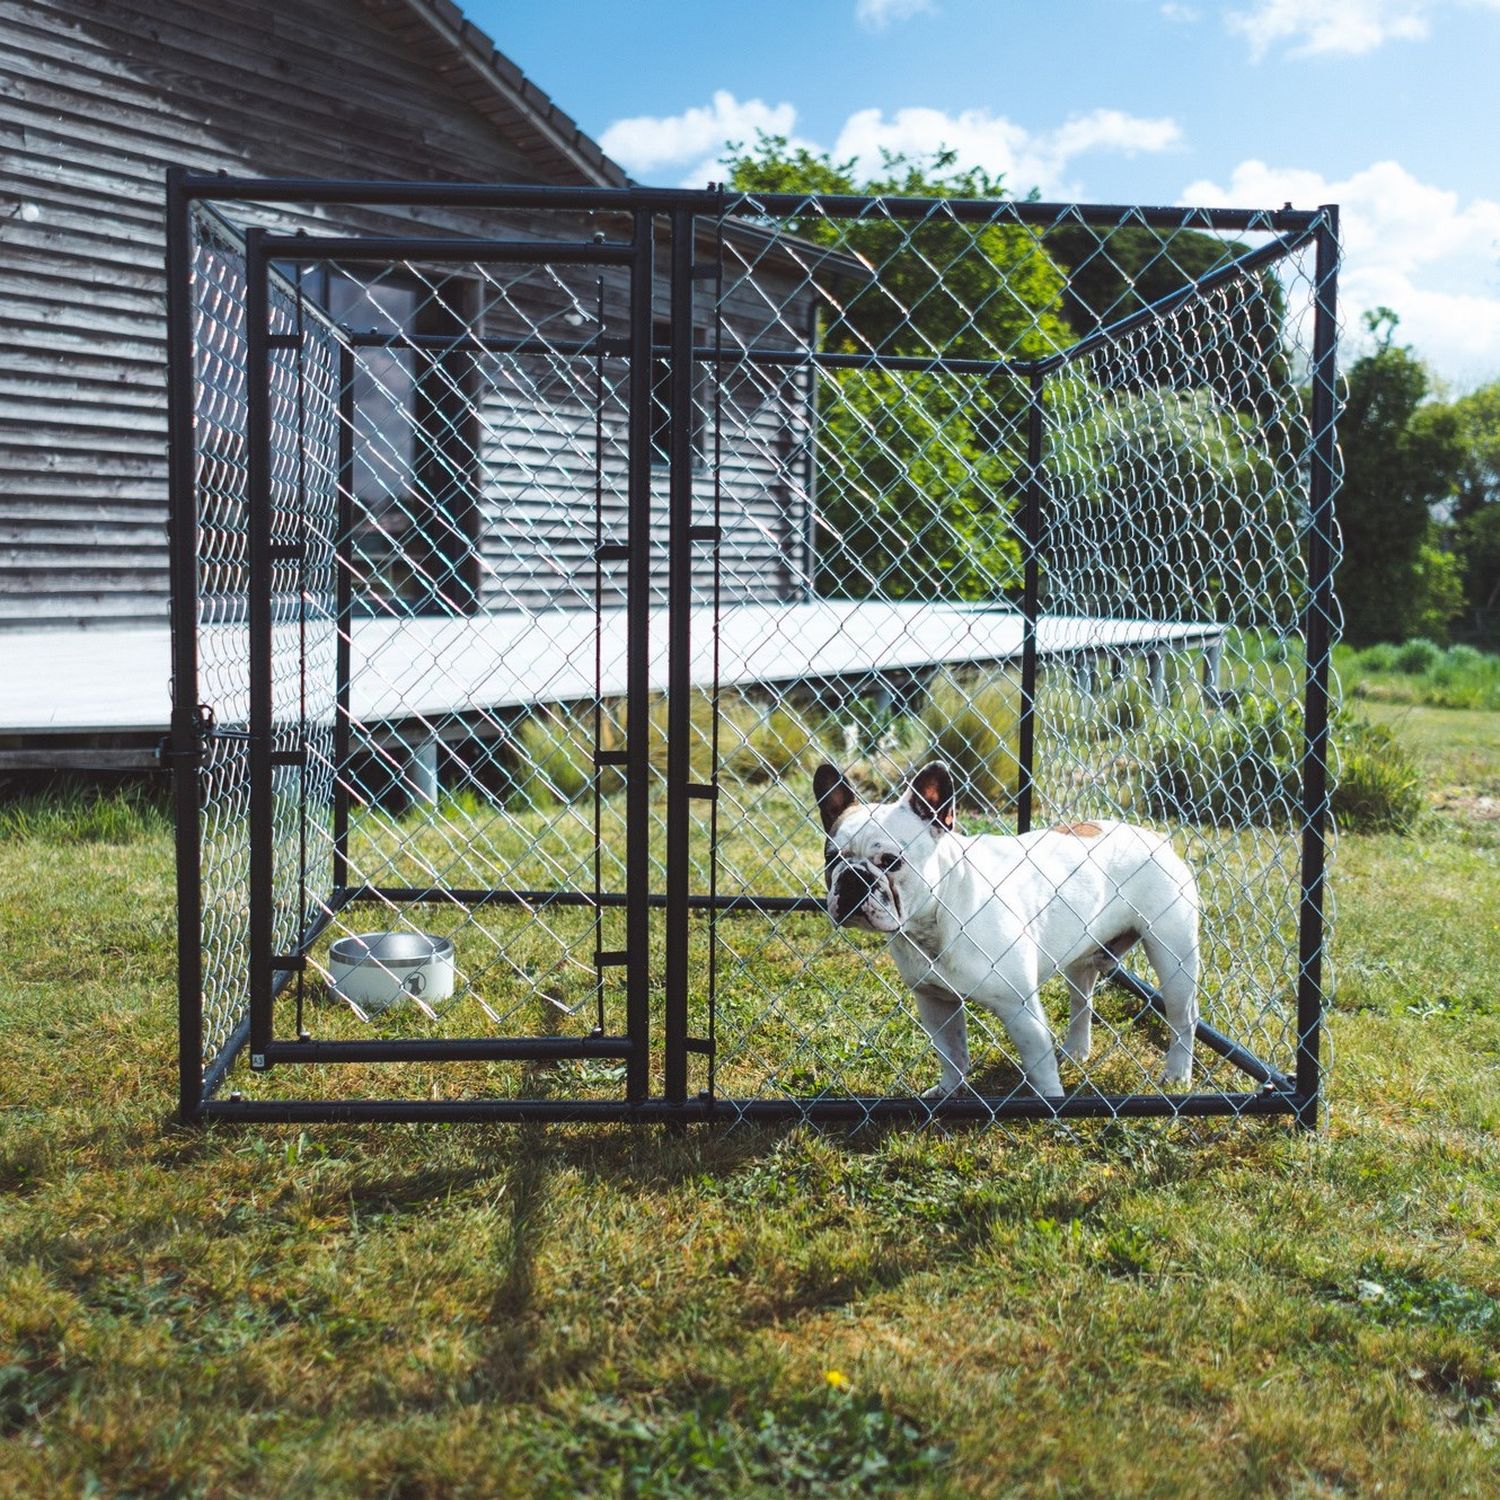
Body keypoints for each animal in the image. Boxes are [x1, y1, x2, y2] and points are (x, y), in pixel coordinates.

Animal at [816, 762, 1200, 1104]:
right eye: (831, 858)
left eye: (891, 862)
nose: (853, 878)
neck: (939, 914)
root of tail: (1155, 836)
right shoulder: (935, 1002)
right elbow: (951, 1054)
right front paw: (948, 1091)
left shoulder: (1020, 1009)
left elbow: (1039, 1065)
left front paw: (1051, 1105)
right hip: (1082, 958)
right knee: (1082, 1002)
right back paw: (1076, 1050)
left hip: (1173, 958)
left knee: (1183, 1018)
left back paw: (1177, 1074)